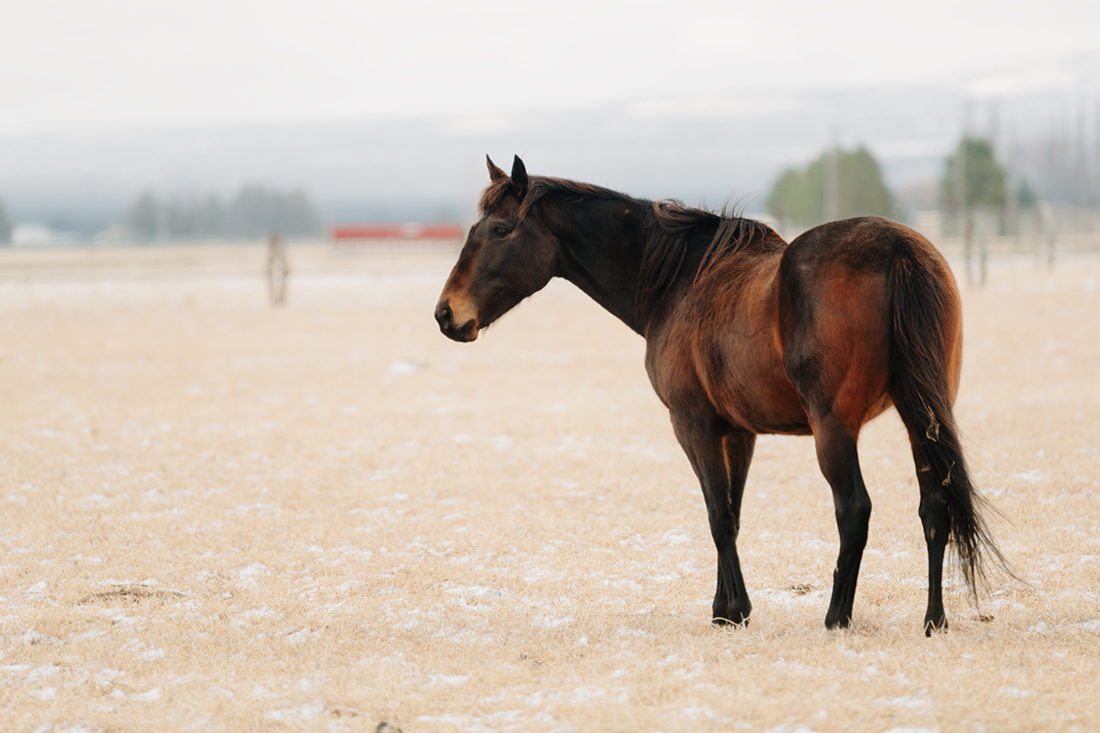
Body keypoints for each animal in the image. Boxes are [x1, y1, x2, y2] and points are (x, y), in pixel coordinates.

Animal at [435, 155, 1002, 634]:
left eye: (500, 230)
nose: (446, 314)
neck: (678, 281)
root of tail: (897, 249)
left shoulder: (693, 424)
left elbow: (718, 515)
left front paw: (734, 611)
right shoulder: (739, 433)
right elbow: (733, 509)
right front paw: (724, 607)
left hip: (834, 429)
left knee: (854, 510)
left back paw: (836, 616)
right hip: (921, 413)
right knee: (935, 508)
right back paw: (934, 619)